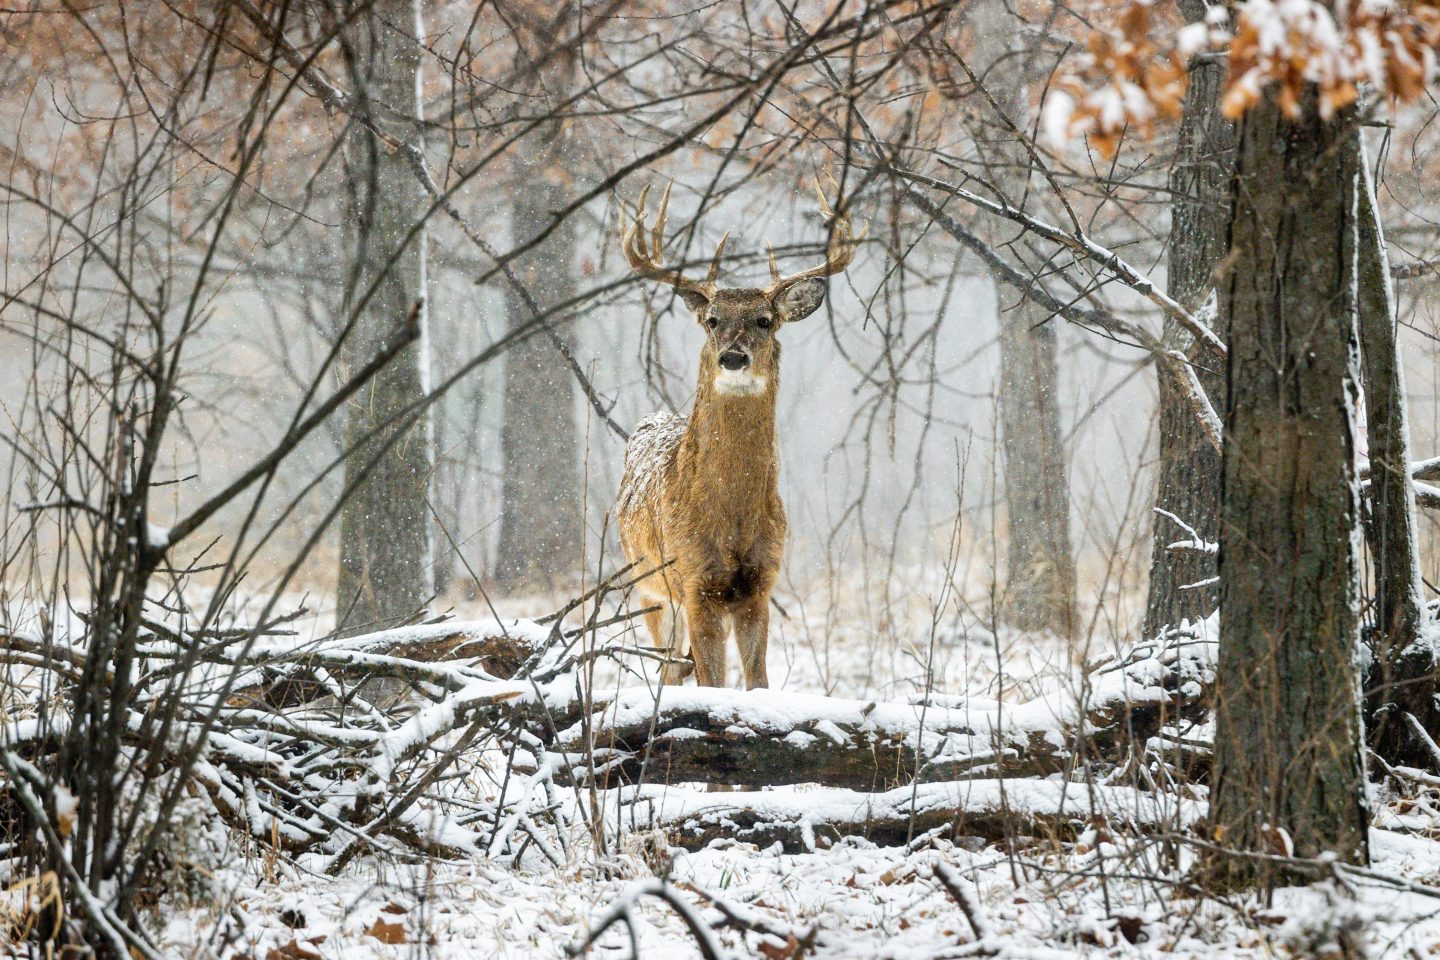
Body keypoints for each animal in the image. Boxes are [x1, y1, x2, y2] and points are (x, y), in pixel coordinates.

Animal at [616, 182, 852, 690]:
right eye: (712, 319)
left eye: (765, 319)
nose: (733, 357)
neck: (730, 520)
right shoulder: (692, 578)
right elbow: (712, 683)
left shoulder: (759, 585)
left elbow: (757, 682)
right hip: (648, 584)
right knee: (668, 668)